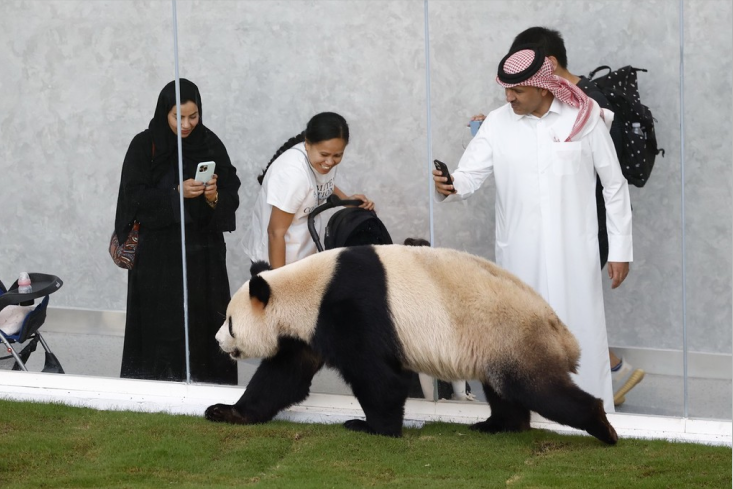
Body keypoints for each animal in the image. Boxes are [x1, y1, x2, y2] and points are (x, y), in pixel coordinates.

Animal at [206, 244, 616, 442]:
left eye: (230, 322)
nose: (216, 341)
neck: (308, 288)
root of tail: (563, 334)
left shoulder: (350, 309)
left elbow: (378, 378)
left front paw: (371, 428)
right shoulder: (308, 330)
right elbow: (284, 376)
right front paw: (225, 411)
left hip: (513, 334)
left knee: (538, 388)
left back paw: (602, 425)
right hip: (496, 344)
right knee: (505, 390)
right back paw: (497, 426)